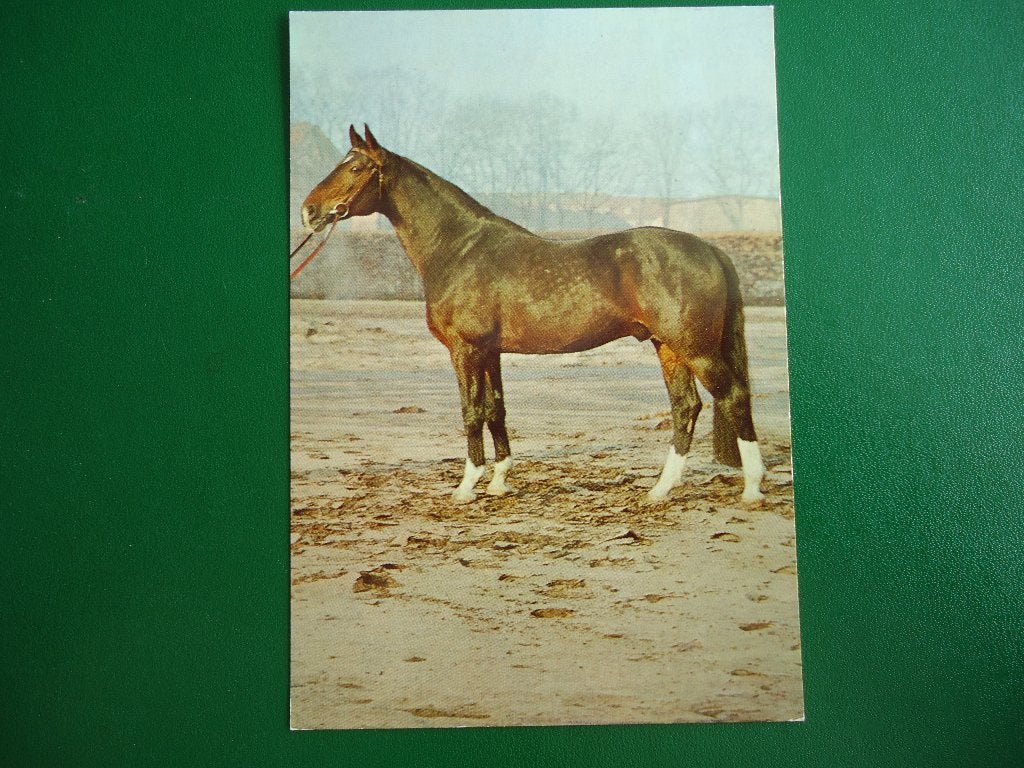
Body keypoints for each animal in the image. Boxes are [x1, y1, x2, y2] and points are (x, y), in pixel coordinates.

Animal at [299, 125, 765, 505]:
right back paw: (660, 490)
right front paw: (500, 481)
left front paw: (467, 487)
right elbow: (496, 409)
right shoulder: (490, 352)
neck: (459, 247)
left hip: (694, 348)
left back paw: (753, 488)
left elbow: (472, 411)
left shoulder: (466, 350)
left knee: (733, 396)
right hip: (668, 346)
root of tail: (709, 249)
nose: (308, 211)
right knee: (686, 407)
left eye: (355, 167)